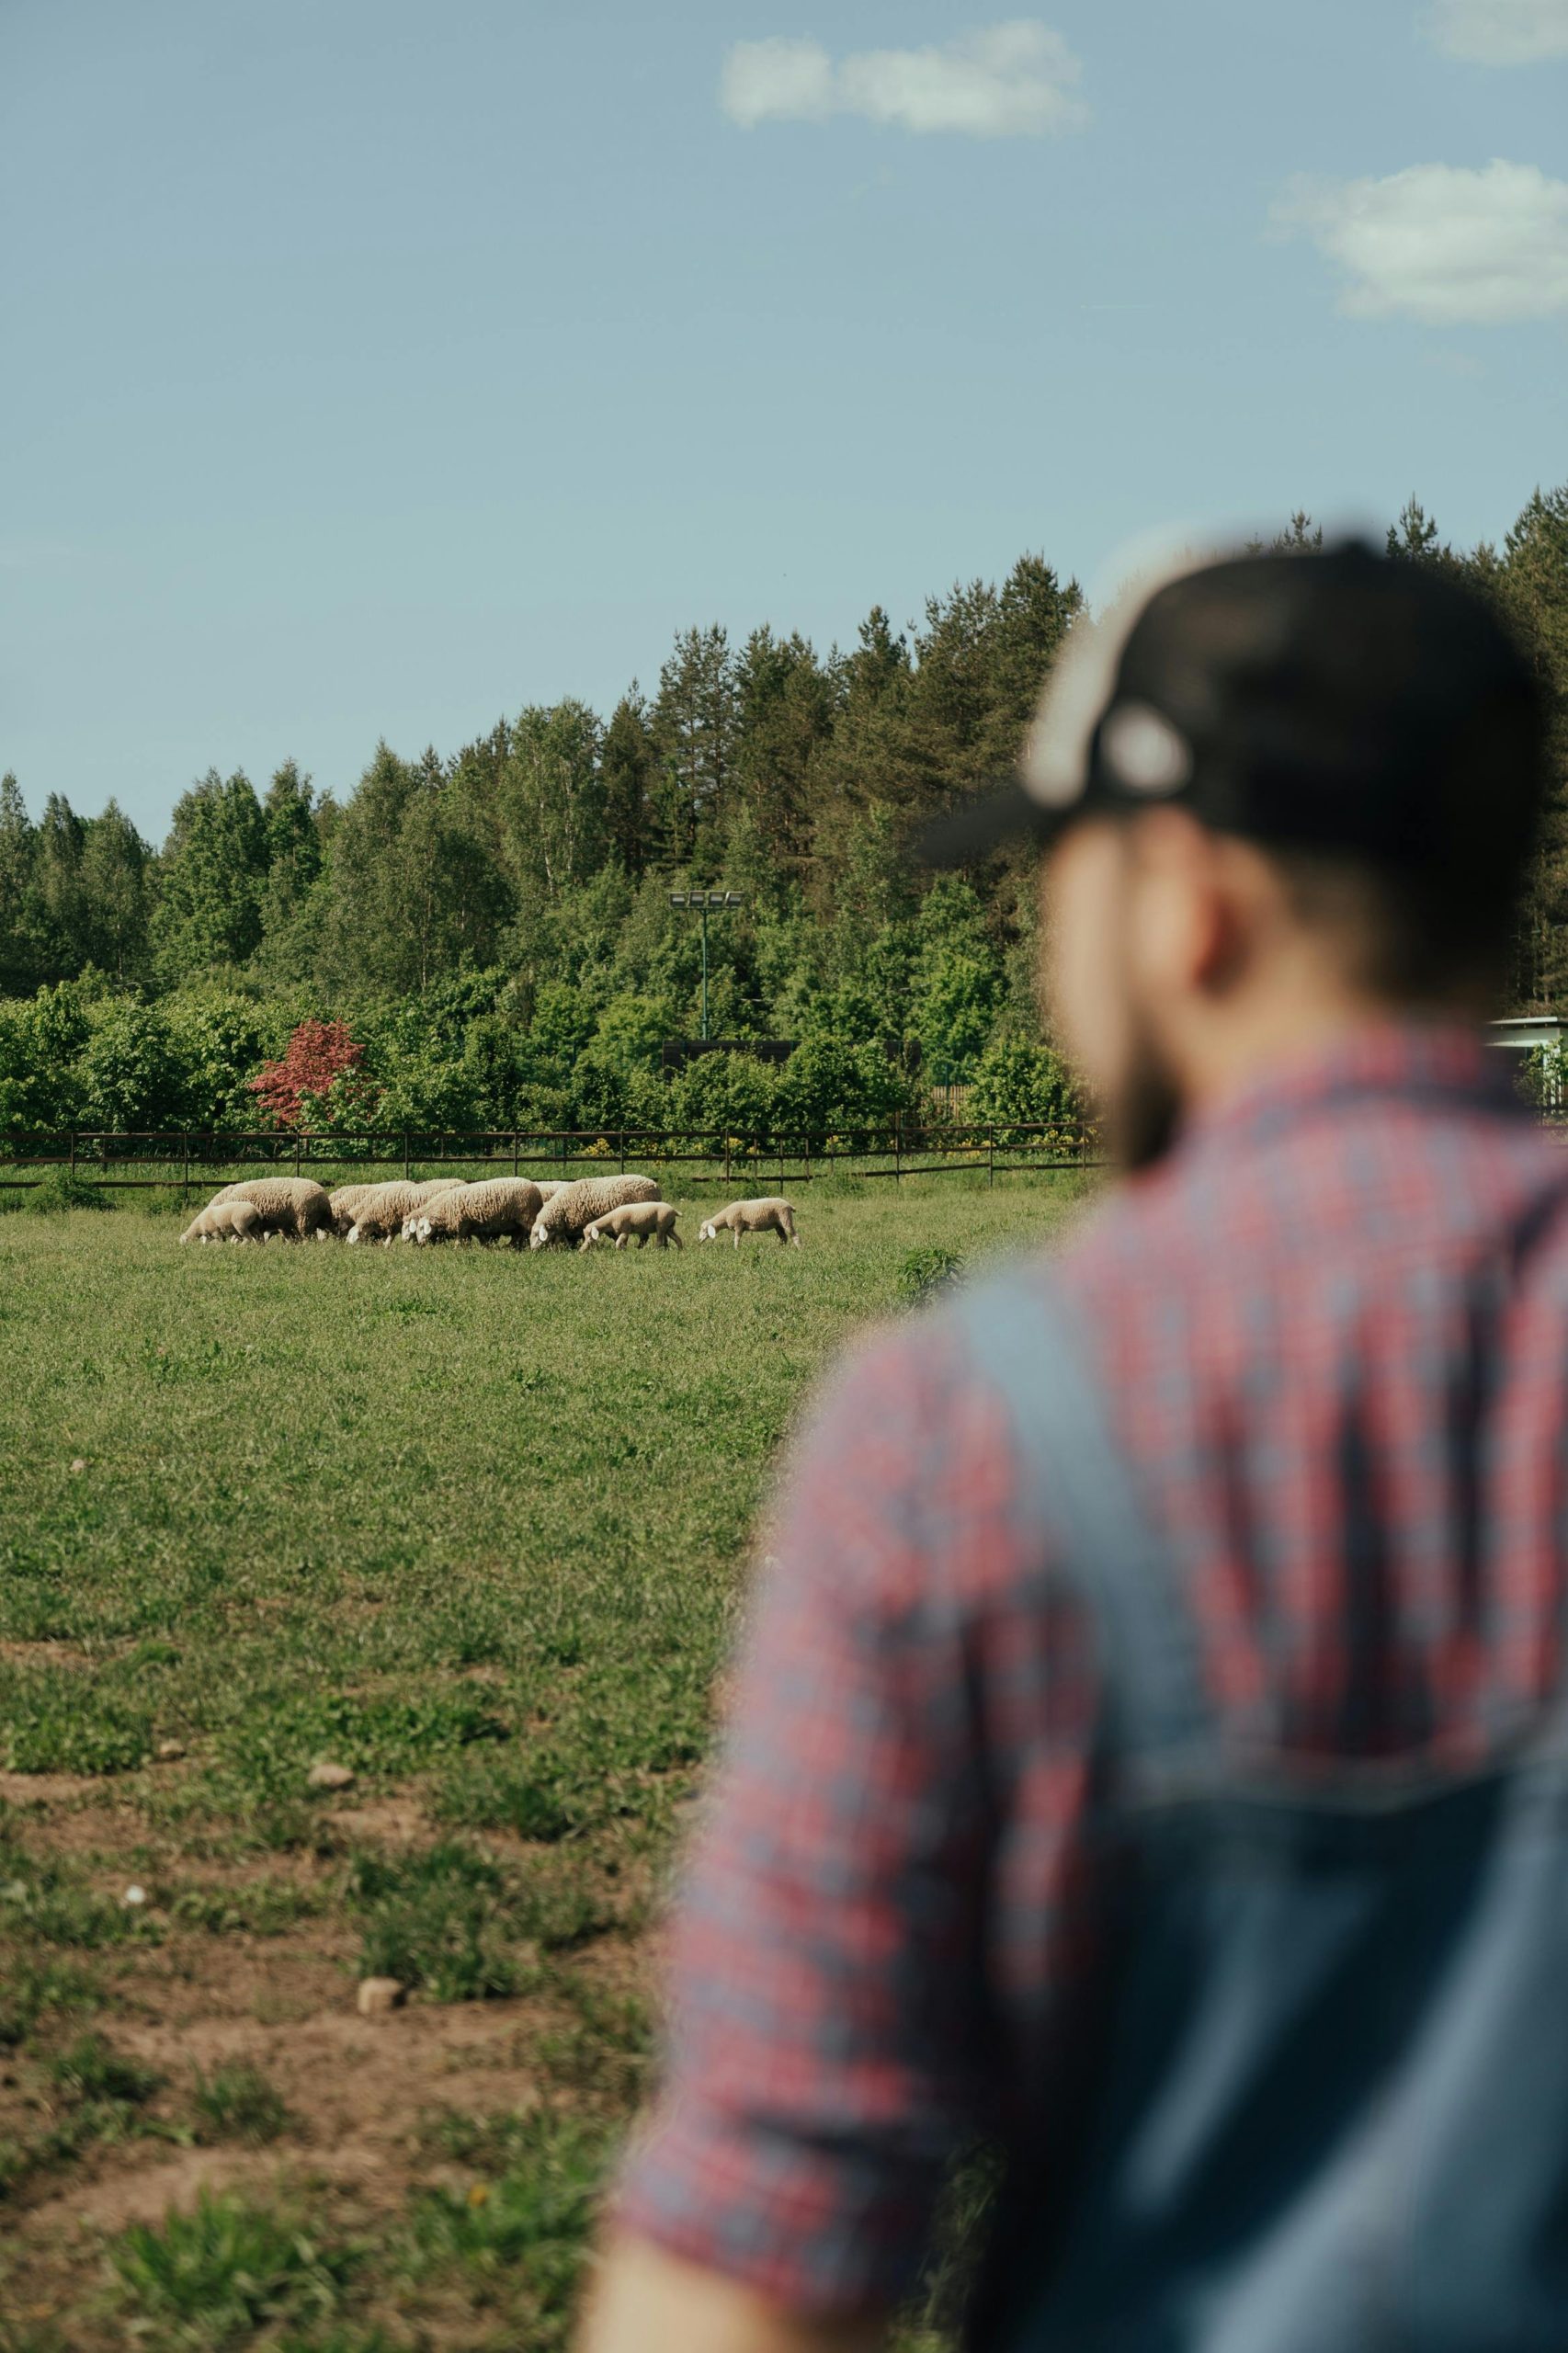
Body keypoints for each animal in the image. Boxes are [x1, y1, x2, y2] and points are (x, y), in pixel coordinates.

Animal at [409, 1176, 543, 1251]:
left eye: (421, 1228)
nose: (420, 1243)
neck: (444, 1209)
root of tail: (535, 1188)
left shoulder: (462, 1224)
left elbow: (460, 1238)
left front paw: (456, 1249)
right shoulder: (475, 1225)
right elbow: (478, 1239)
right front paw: (483, 1248)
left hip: (527, 1216)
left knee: (528, 1232)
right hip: (518, 1221)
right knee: (519, 1234)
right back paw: (512, 1247)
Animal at [525, 1176, 654, 1251]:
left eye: (536, 1234)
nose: (532, 1250)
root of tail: (654, 1184)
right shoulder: (561, 1228)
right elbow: (561, 1239)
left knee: (644, 1237)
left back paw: (639, 1248)